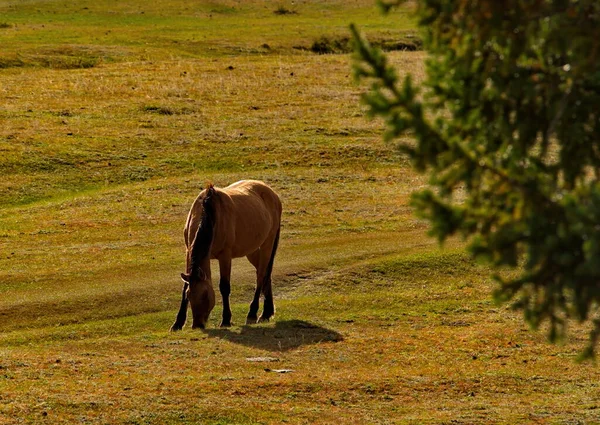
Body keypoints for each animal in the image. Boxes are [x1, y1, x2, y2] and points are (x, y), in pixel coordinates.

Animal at [169, 179, 282, 332]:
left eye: (205, 295)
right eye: (189, 295)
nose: (198, 325)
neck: (209, 214)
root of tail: (272, 193)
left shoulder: (225, 256)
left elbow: (224, 287)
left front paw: (226, 320)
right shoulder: (188, 251)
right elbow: (184, 286)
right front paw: (178, 323)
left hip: (267, 244)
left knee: (261, 276)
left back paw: (254, 314)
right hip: (252, 251)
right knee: (264, 273)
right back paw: (267, 312)